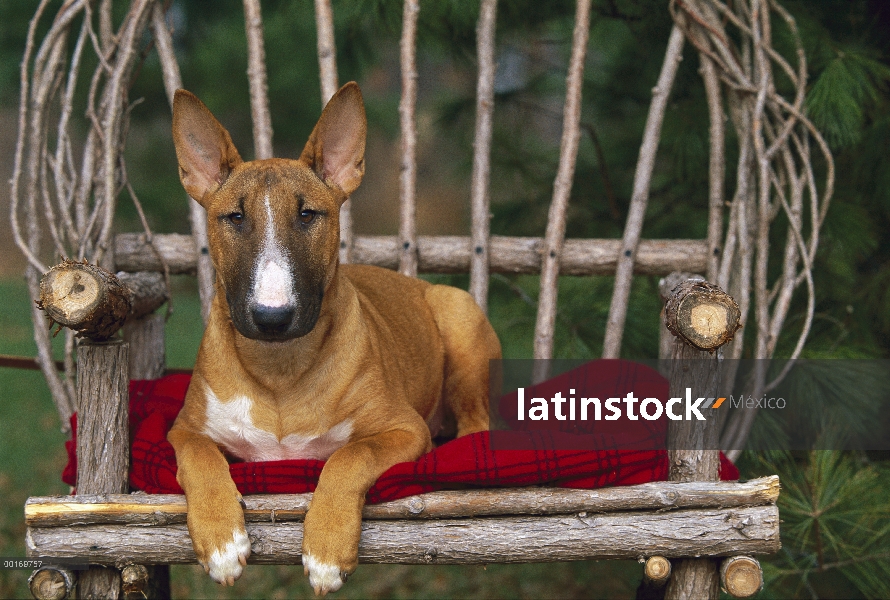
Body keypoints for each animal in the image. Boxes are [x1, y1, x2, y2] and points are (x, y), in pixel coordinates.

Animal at [167, 81, 500, 596]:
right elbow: (200, 455)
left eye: (308, 214)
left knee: (475, 420)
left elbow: (349, 454)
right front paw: (222, 541)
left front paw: (325, 551)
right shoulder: (183, 429)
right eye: (234, 218)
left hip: (459, 315)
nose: (272, 317)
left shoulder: (404, 428)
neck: (280, 366)